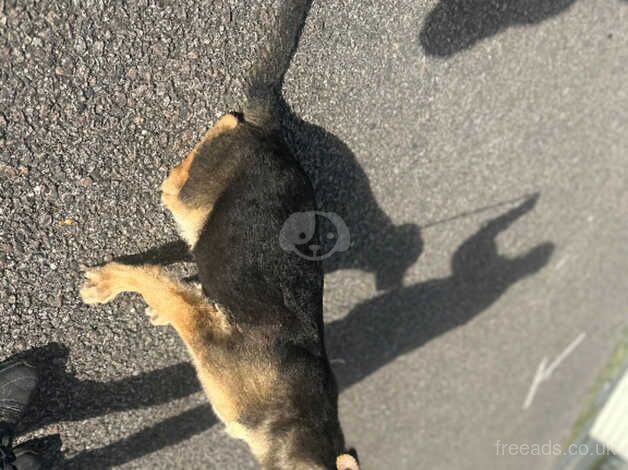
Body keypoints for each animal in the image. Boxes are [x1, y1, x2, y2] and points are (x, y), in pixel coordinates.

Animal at [78, 102, 358, 466]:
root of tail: (272, 139)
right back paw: (226, 125)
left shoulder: (203, 321)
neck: (301, 429)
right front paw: (109, 282)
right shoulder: (203, 331)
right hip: (189, 196)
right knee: (196, 158)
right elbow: (155, 284)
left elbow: (171, 291)